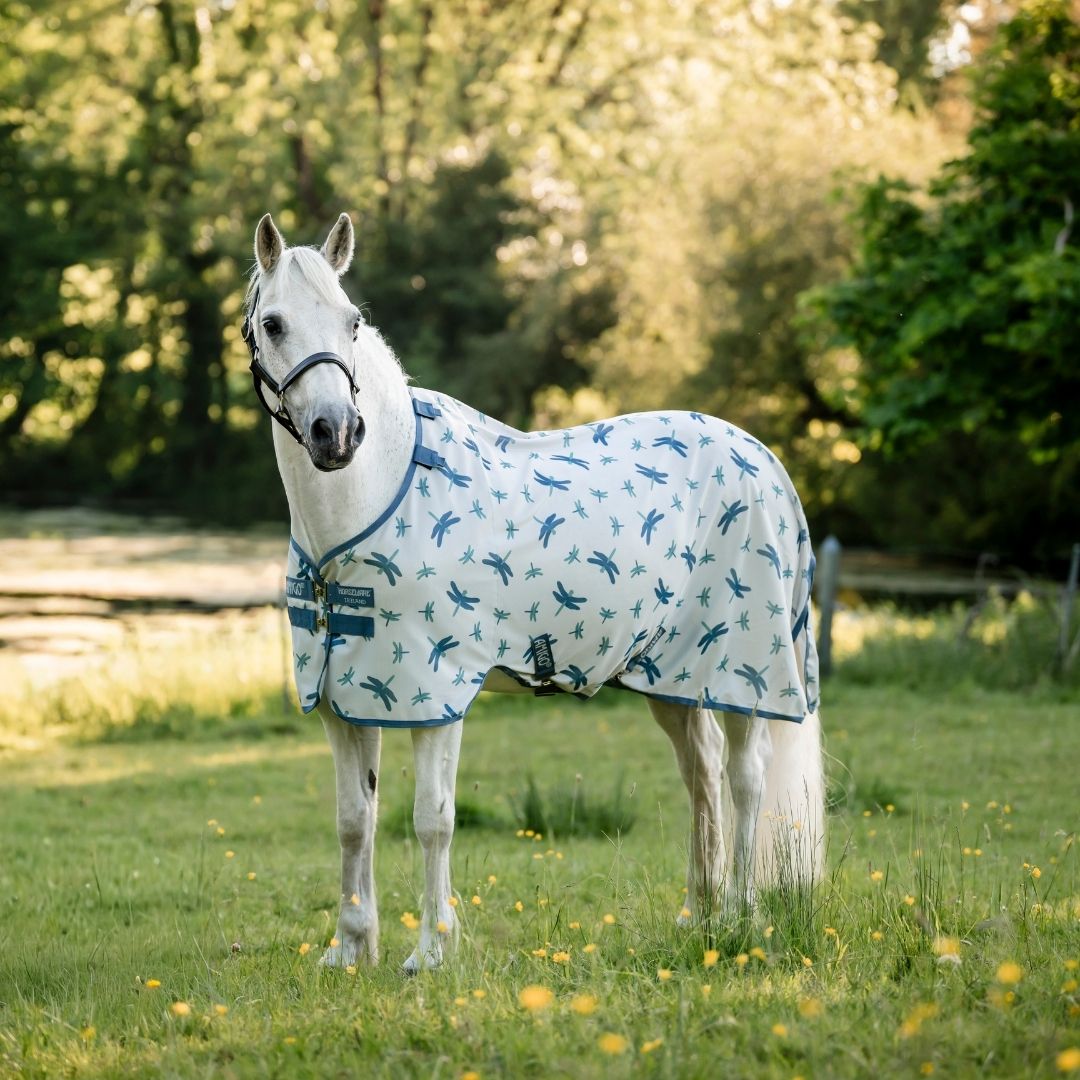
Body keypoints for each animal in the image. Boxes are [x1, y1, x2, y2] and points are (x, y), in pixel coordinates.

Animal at [243, 212, 825, 972]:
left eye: (353, 321)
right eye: (274, 323)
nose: (336, 434)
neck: (375, 499)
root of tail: (760, 457)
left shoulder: (437, 696)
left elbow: (431, 820)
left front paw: (430, 952)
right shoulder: (344, 698)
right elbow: (352, 820)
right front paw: (349, 949)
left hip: (743, 674)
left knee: (745, 780)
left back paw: (746, 918)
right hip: (674, 676)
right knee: (700, 778)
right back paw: (700, 917)